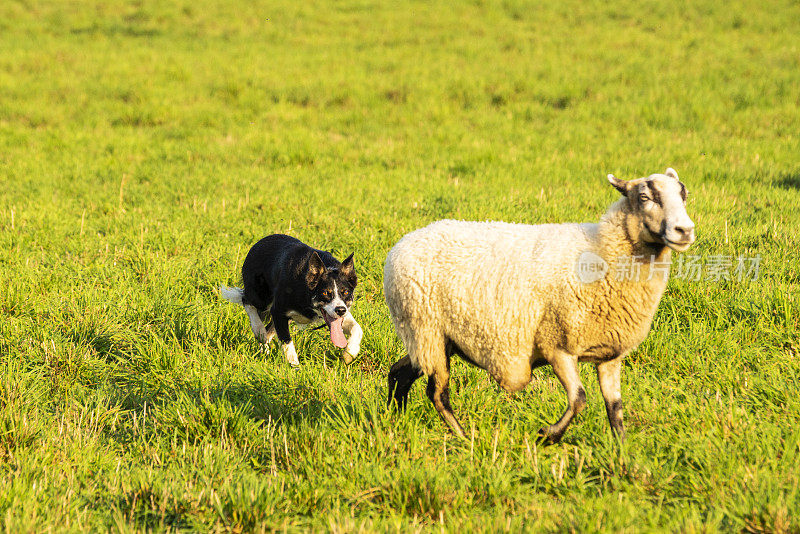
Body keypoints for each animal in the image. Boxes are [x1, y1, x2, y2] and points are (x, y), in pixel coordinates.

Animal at [219, 236, 362, 368]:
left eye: (345, 292)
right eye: (326, 293)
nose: (340, 310)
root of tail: (259, 243)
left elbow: (357, 329)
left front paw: (349, 355)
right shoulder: (278, 310)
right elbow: (287, 343)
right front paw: (294, 367)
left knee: (268, 330)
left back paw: (264, 350)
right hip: (261, 296)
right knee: (246, 301)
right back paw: (258, 330)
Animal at [382, 169, 692, 444]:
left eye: (684, 195)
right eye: (644, 197)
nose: (685, 230)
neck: (603, 253)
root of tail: (401, 245)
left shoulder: (609, 355)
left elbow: (615, 409)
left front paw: (622, 455)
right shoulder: (556, 344)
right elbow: (579, 399)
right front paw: (548, 436)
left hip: (433, 339)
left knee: (399, 373)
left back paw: (394, 420)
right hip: (426, 329)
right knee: (437, 393)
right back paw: (462, 437)